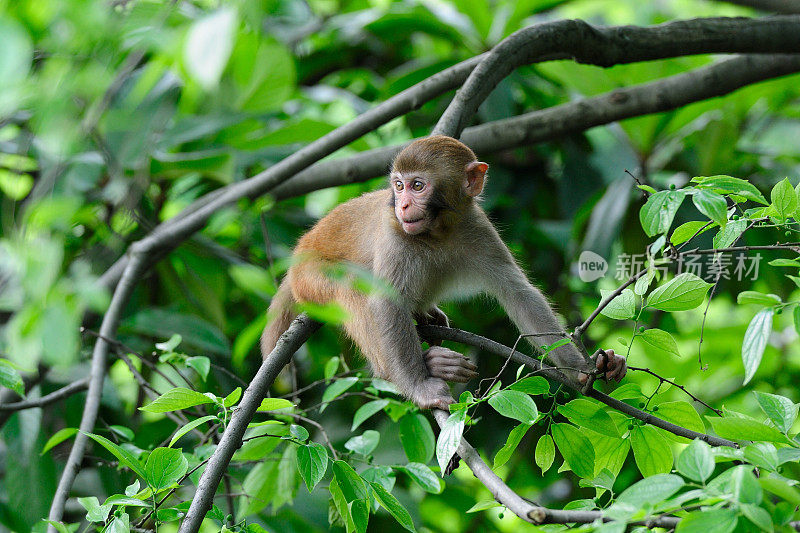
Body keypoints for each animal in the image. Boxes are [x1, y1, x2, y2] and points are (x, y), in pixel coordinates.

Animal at [262, 134, 624, 408]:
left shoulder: (477, 227)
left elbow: (517, 293)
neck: (438, 232)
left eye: (418, 185)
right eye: (399, 186)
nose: (403, 205)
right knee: (351, 288)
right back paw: (407, 367)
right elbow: (385, 304)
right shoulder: (395, 237)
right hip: (310, 277)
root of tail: (297, 259)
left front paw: (585, 367)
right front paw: (418, 386)